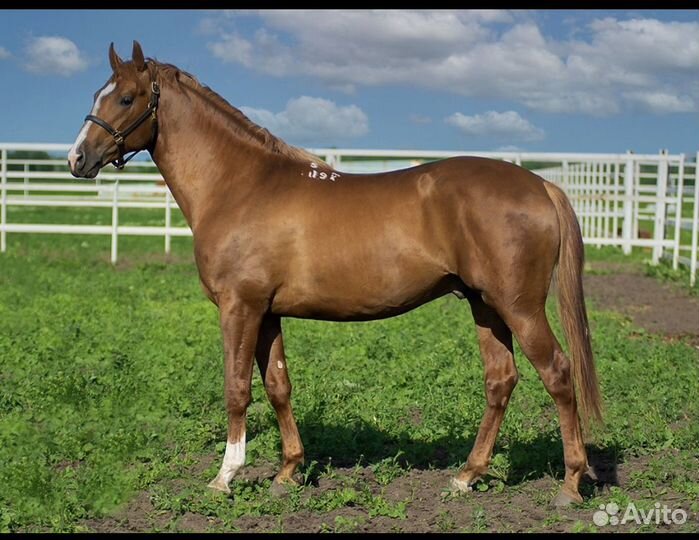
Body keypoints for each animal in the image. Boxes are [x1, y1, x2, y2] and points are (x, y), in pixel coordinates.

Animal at [68, 41, 602, 507]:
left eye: (126, 97)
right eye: (97, 94)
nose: (78, 159)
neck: (240, 185)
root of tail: (540, 185)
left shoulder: (239, 307)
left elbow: (236, 389)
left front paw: (225, 477)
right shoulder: (267, 313)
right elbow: (278, 386)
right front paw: (287, 472)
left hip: (519, 308)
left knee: (558, 374)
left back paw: (570, 483)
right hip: (484, 305)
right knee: (501, 380)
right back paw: (466, 476)